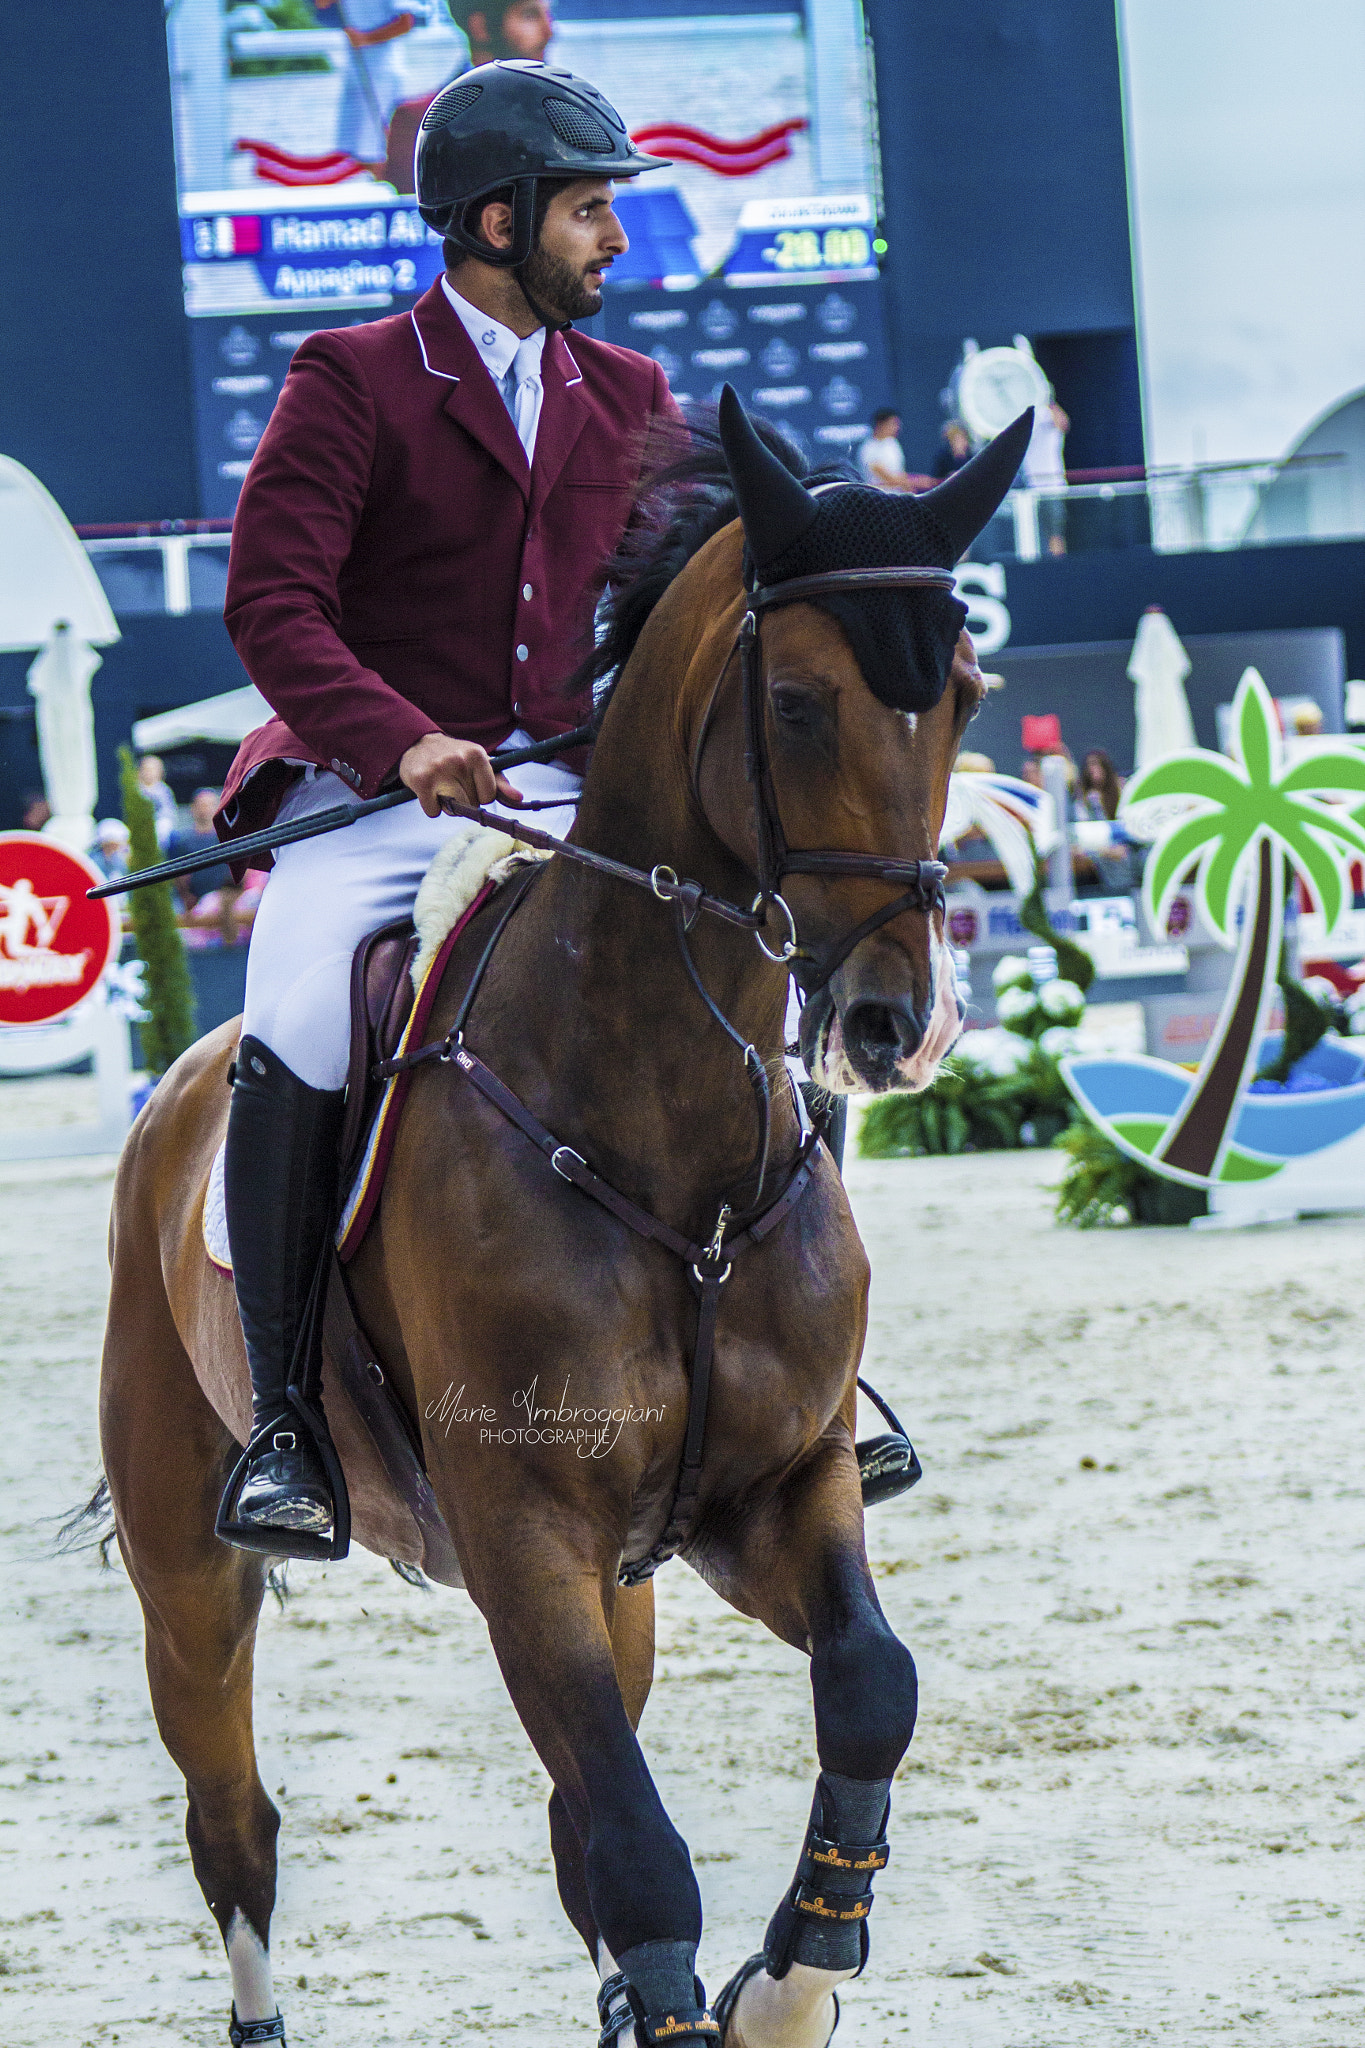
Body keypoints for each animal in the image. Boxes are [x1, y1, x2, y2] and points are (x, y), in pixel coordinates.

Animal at [96, 391, 1031, 2039]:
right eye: (797, 705)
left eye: (967, 695)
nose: (895, 1025)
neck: (668, 1141)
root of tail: (179, 1087)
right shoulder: (525, 1532)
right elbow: (641, 1847)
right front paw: (741, 1992)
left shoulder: (774, 1490)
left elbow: (870, 1690)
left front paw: (790, 1978)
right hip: (192, 1575)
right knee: (237, 1825)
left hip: (626, 1581)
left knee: (567, 1819)